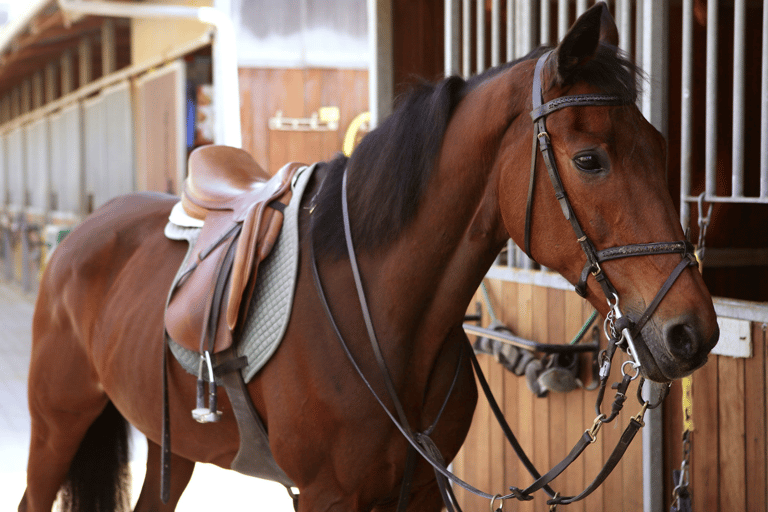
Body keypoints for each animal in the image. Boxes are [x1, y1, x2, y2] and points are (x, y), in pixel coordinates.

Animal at [21, 5, 720, 512]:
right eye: (589, 159)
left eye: (659, 147)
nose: (692, 333)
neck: (381, 317)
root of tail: (82, 234)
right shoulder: (327, 498)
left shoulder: (421, 491)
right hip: (56, 426)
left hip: (172, 446)